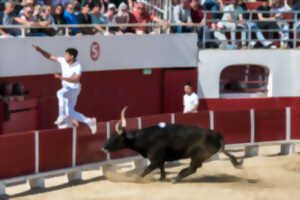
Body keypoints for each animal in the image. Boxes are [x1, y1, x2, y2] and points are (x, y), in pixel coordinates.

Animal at [103, 107, 244, 184]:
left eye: (116, 138)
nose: (104, 147)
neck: (145, 137)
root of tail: (216, 134)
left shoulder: (155, 159)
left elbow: (145, 171)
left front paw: (136, 179)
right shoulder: (160, 159)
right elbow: (162, 169)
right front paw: (162, 178)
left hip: (197, 156)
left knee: (193, 168)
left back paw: (176, 179)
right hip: (199, 157)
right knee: (193, 168)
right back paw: (178, 176)